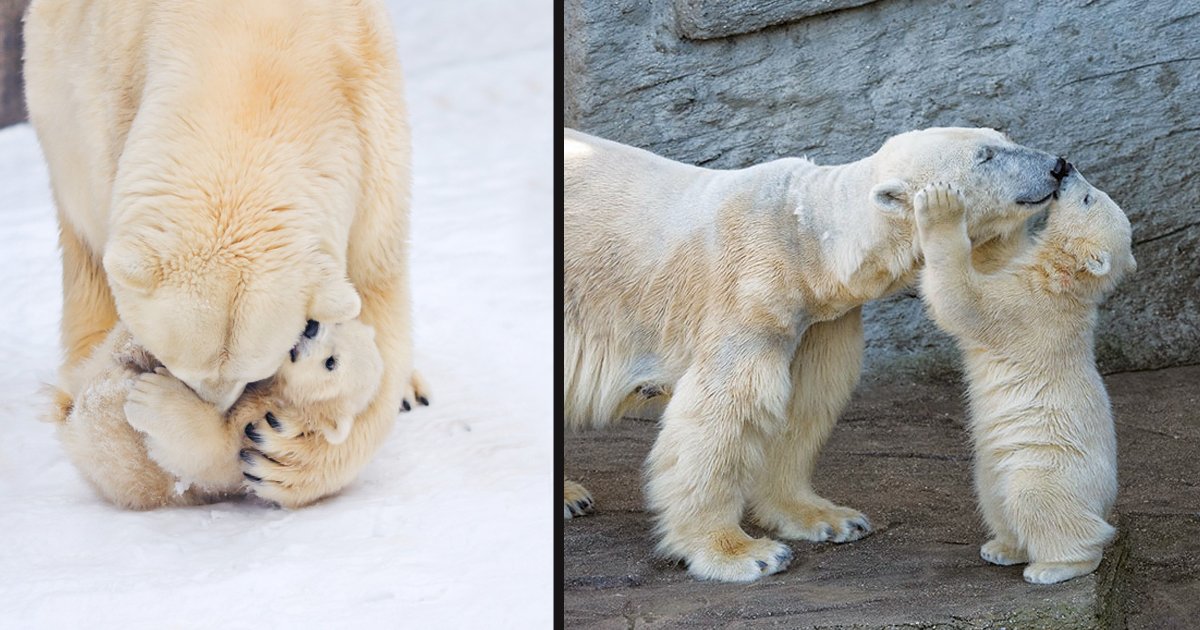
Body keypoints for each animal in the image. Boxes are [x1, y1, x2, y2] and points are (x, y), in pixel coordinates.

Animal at [24, 0, 427, 506]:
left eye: (253, 372)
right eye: (178, 363)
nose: (215, 404)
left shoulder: (370, 131)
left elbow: (375, 299)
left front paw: (283, 453)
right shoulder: (111, 99)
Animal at [561, 126, 1070, 580]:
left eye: (1003, 137)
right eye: (986, 156)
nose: (1057, 164)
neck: (806, 239)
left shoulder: (819, 317)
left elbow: (804, 401)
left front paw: (830, 519)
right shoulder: (749, 293)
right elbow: (724, 409)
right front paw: (743, 553)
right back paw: (571, 494)